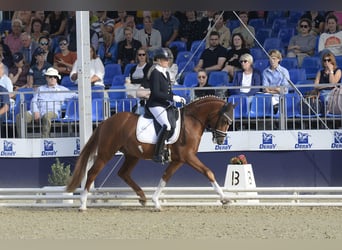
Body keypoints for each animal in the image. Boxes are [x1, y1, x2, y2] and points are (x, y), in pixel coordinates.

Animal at [67, 96, 235, 210]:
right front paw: (224, 198)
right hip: (106, 153)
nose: (221, 140)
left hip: (132, 155)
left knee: (123, 173)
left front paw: (155, 201)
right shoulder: (187, 157)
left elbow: (165, 177)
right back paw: (83, 204)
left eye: (229, 123)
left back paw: (142, 197)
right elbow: (208, 172)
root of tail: (106, 121)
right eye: (225, 121)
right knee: (92, 173)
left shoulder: (178, 160)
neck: (191, 121)